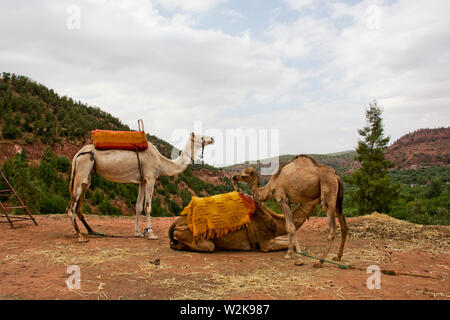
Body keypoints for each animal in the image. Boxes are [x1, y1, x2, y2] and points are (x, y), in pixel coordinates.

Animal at [67, 131, 214, 241]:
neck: (162, 161)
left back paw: (91, 231)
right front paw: (151, 234)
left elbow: (138, 207)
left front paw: (137, 232)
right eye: (201, 137)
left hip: (87, 176)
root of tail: (76, 155)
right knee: (71, 206)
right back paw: (80, 235)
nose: (212, 138)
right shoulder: (150, 178)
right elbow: (147, 207)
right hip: (82, 170)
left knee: (79, 205)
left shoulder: (142, 180)